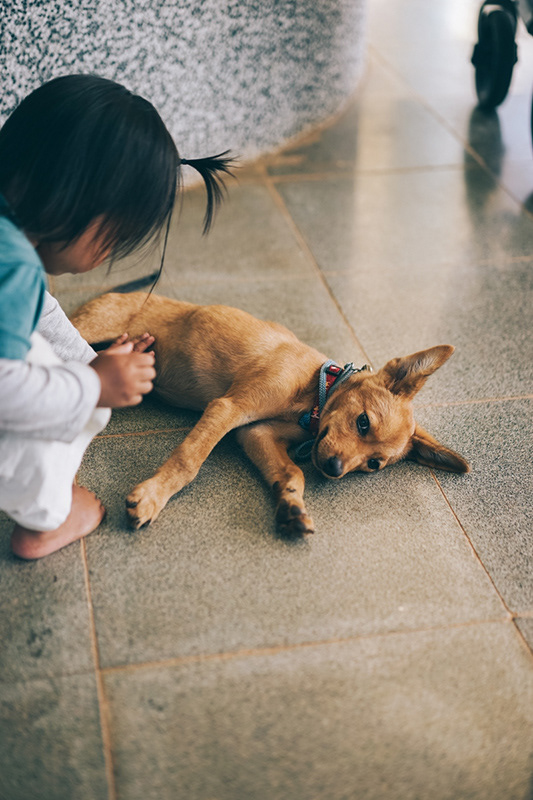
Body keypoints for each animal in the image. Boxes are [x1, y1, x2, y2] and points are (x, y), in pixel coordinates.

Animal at [70, 291, 469, 536]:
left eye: (373, 465)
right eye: (363, 422)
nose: (334, 469)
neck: (314, 392)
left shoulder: (255, 433)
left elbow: (292, 471)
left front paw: (291, 504)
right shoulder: (229, 408)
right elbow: (189, 460)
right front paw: (152, 497)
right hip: (89, 330)